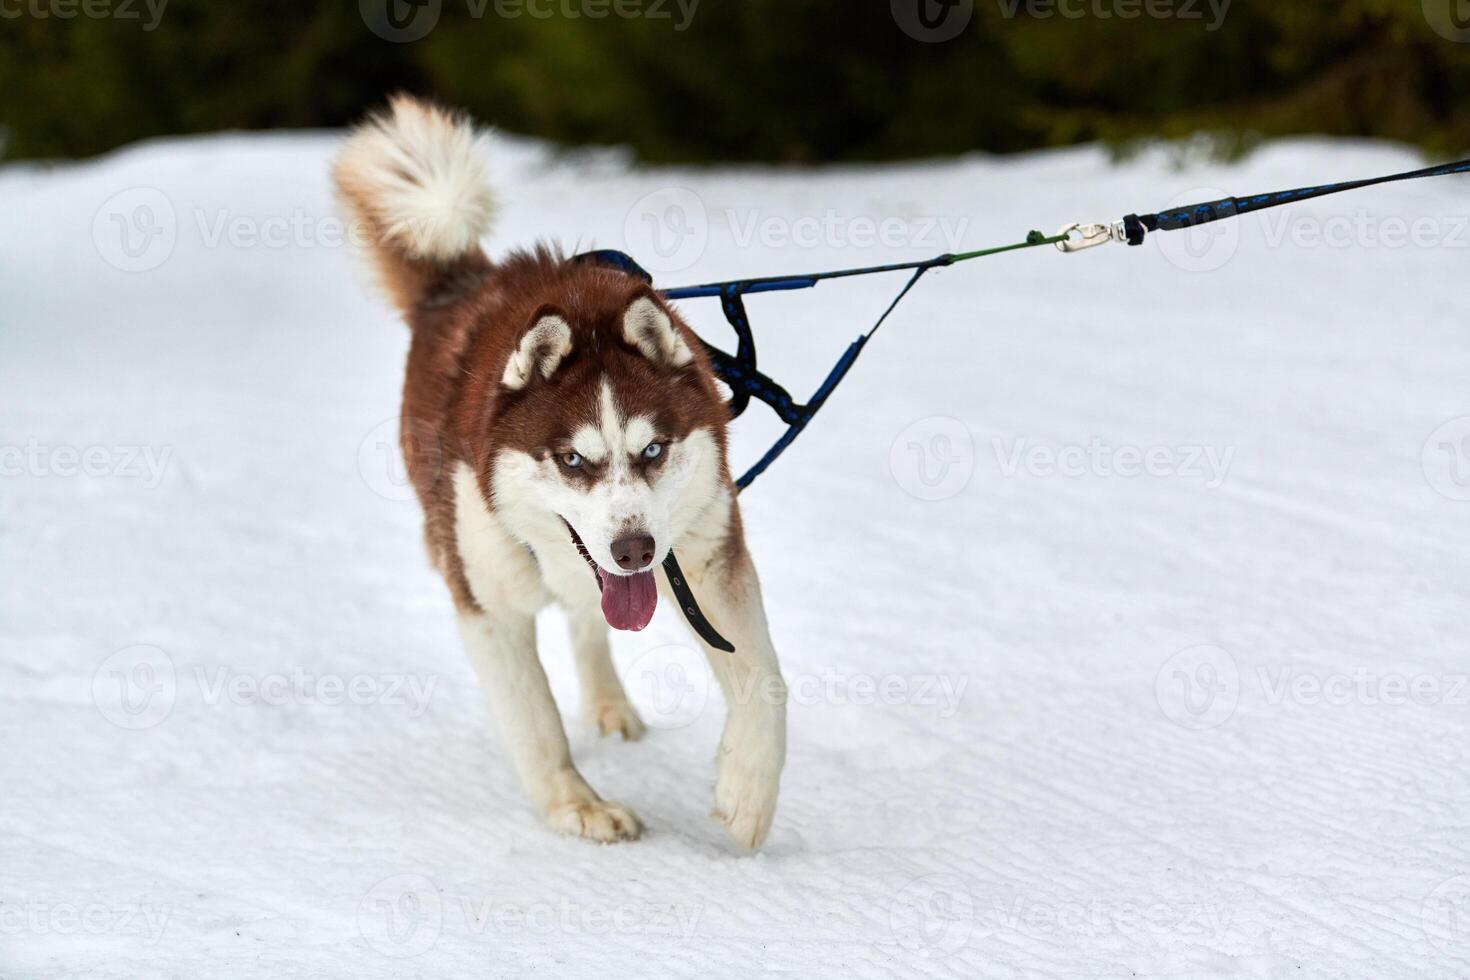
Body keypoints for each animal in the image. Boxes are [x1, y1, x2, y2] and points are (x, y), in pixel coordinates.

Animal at [335, 97, 787, 852]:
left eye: (653, 451)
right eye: (572, 459)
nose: (634, 549)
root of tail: (463, 281)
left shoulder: (705, 560)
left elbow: (766, 682)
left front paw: (746, 791)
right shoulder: (486, 603)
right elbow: (535, 722)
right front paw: (575, 805)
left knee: (586, 620)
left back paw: (610, 703)